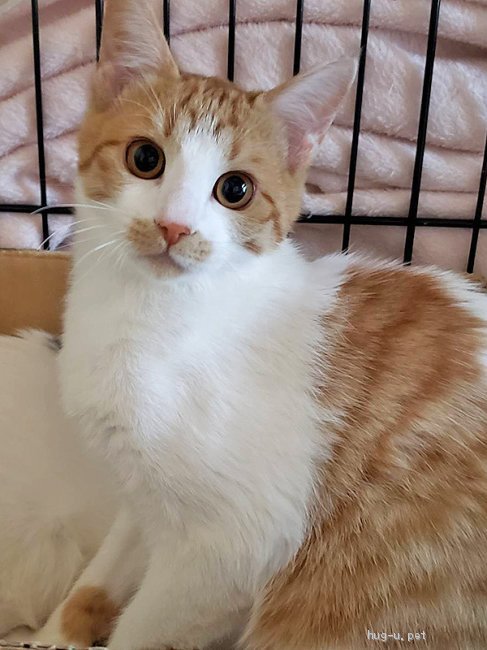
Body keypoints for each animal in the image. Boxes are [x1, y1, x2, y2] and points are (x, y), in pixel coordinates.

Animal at [33, 0, 487, 648]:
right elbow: (104, 567)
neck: (149, 312)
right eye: (145, 158)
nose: (174, 227)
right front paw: (55, 630)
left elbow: (147, 627)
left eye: (236, 190)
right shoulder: (142, 496)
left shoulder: (232, 547)